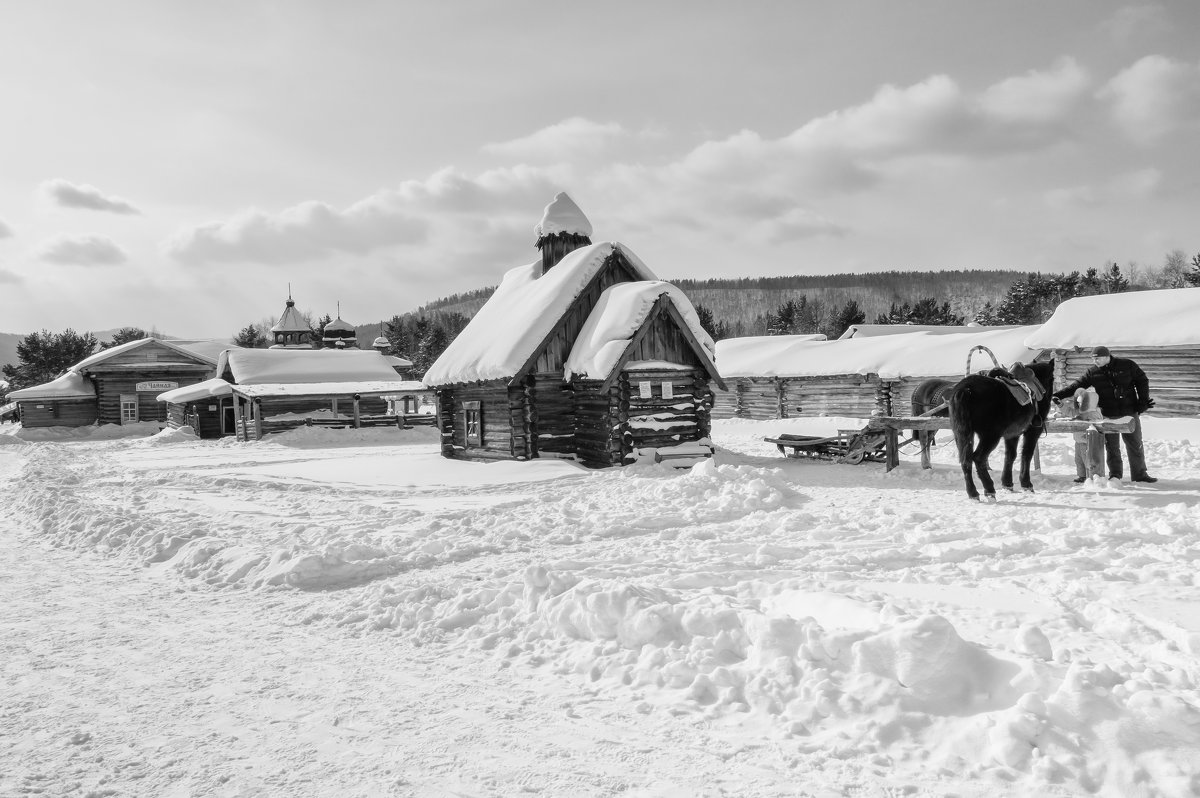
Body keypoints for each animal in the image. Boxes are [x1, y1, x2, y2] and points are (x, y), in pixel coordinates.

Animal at [950, 360, 1056, 499]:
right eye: (1052, 379)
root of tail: (965, 389)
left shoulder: (1012, 434)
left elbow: (1010, 455)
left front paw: (1007, 483)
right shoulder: (1032, 432)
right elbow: (1026, 454)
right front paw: (1026, 484)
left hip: (962, 434)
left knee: (965, 460)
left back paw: (973, 493)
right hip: (990, 436)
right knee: (978, 458)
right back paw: (989, 489)